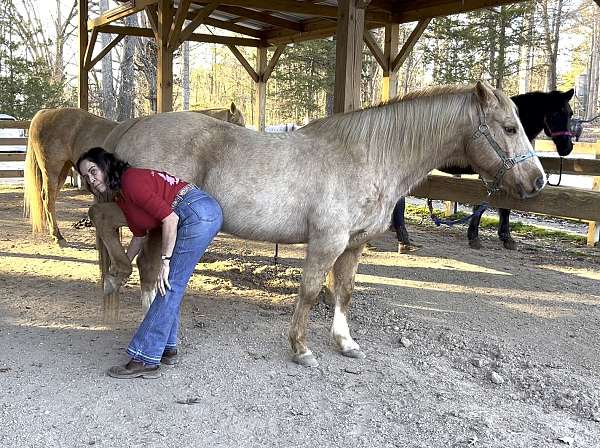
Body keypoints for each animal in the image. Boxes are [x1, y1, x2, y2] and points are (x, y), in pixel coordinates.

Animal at [22, 104, 244, 245]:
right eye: (239, 125)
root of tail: (46, 113)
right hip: (53, 170)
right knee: (48, 199)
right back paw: (58, 237)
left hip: (63, 170)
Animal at [88, 81, 544, 368]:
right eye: (509, 127)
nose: (537, 181)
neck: (366, 156)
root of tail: (136, 123)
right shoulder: (327, 240)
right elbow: (309, 292)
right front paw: (300, 348)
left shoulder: (354, 244)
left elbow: (343, 291)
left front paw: (345, 342)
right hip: (146, 213)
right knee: (109, 228)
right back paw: (121, 288)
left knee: (148, 268)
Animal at [392, 87, 576, 252]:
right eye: (555, 114)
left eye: (570, 113)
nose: (567, 147)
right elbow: (489, 206)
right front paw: (480, 237)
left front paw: (503, 236)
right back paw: (403, 238)